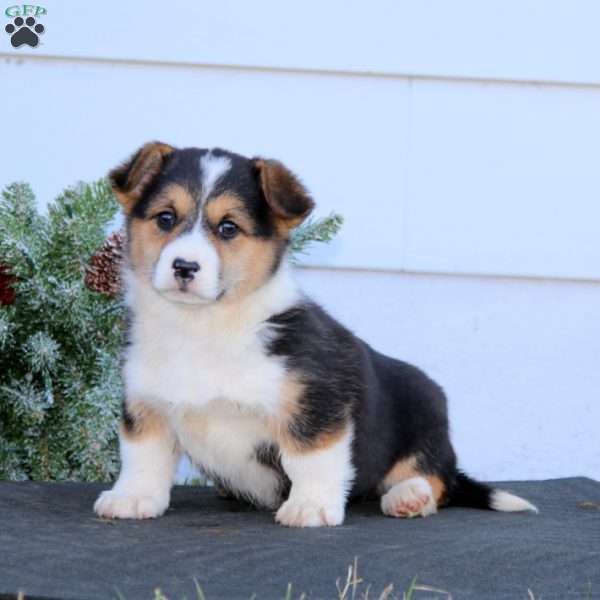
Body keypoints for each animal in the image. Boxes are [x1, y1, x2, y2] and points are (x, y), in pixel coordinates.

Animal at [95, 143, 540, 528]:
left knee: (435, 479)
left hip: (424, 420)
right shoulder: (146, 407)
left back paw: (409, 497)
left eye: (228, 228)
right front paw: (132, 498)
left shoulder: (316, 405)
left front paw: (309, 506)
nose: (185, 267)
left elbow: (310, 458)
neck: (201, 326)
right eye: (165, 219)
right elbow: (143, 459)